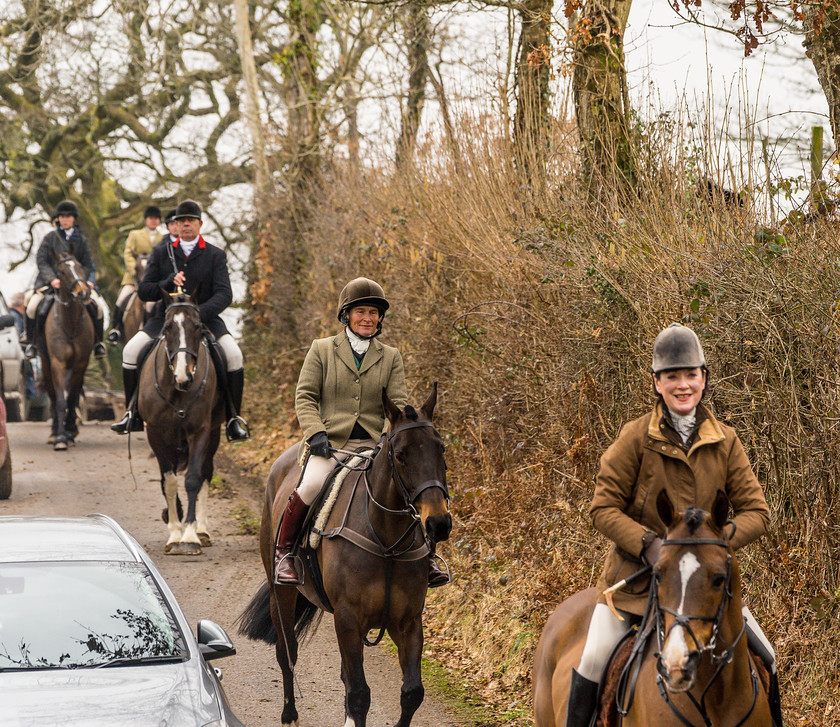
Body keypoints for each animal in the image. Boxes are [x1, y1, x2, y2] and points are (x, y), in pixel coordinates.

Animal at [41, 253, 94, 452]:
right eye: (62, 272)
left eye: (79, 266)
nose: (83, 293)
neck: (70, 323)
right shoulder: (57, 363)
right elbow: (60, 400)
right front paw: (60, 437)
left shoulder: (80, 364)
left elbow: (72, 398)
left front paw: (69, 432)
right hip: (45, 364)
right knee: (52, 394)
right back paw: (55, 431)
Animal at [137, 292, 223, 556]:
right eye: (167, 328)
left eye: (198, 327)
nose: (184, 377)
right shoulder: (155, 433)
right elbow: (169, 481)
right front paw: (175, 533)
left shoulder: (200, 431)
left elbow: (193, 478)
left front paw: (190, 536)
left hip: (213, 433)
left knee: (206, 472)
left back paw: (202, 530)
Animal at [240, 386, 452, 727]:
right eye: (400, 455)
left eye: (441, 449)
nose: (439, 523)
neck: (386, 540)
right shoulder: (349, 618)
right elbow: (359, 694)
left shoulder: (407, 622)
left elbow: (411, 692)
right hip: (281, 594)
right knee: (287, 653)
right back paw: (289, 715)